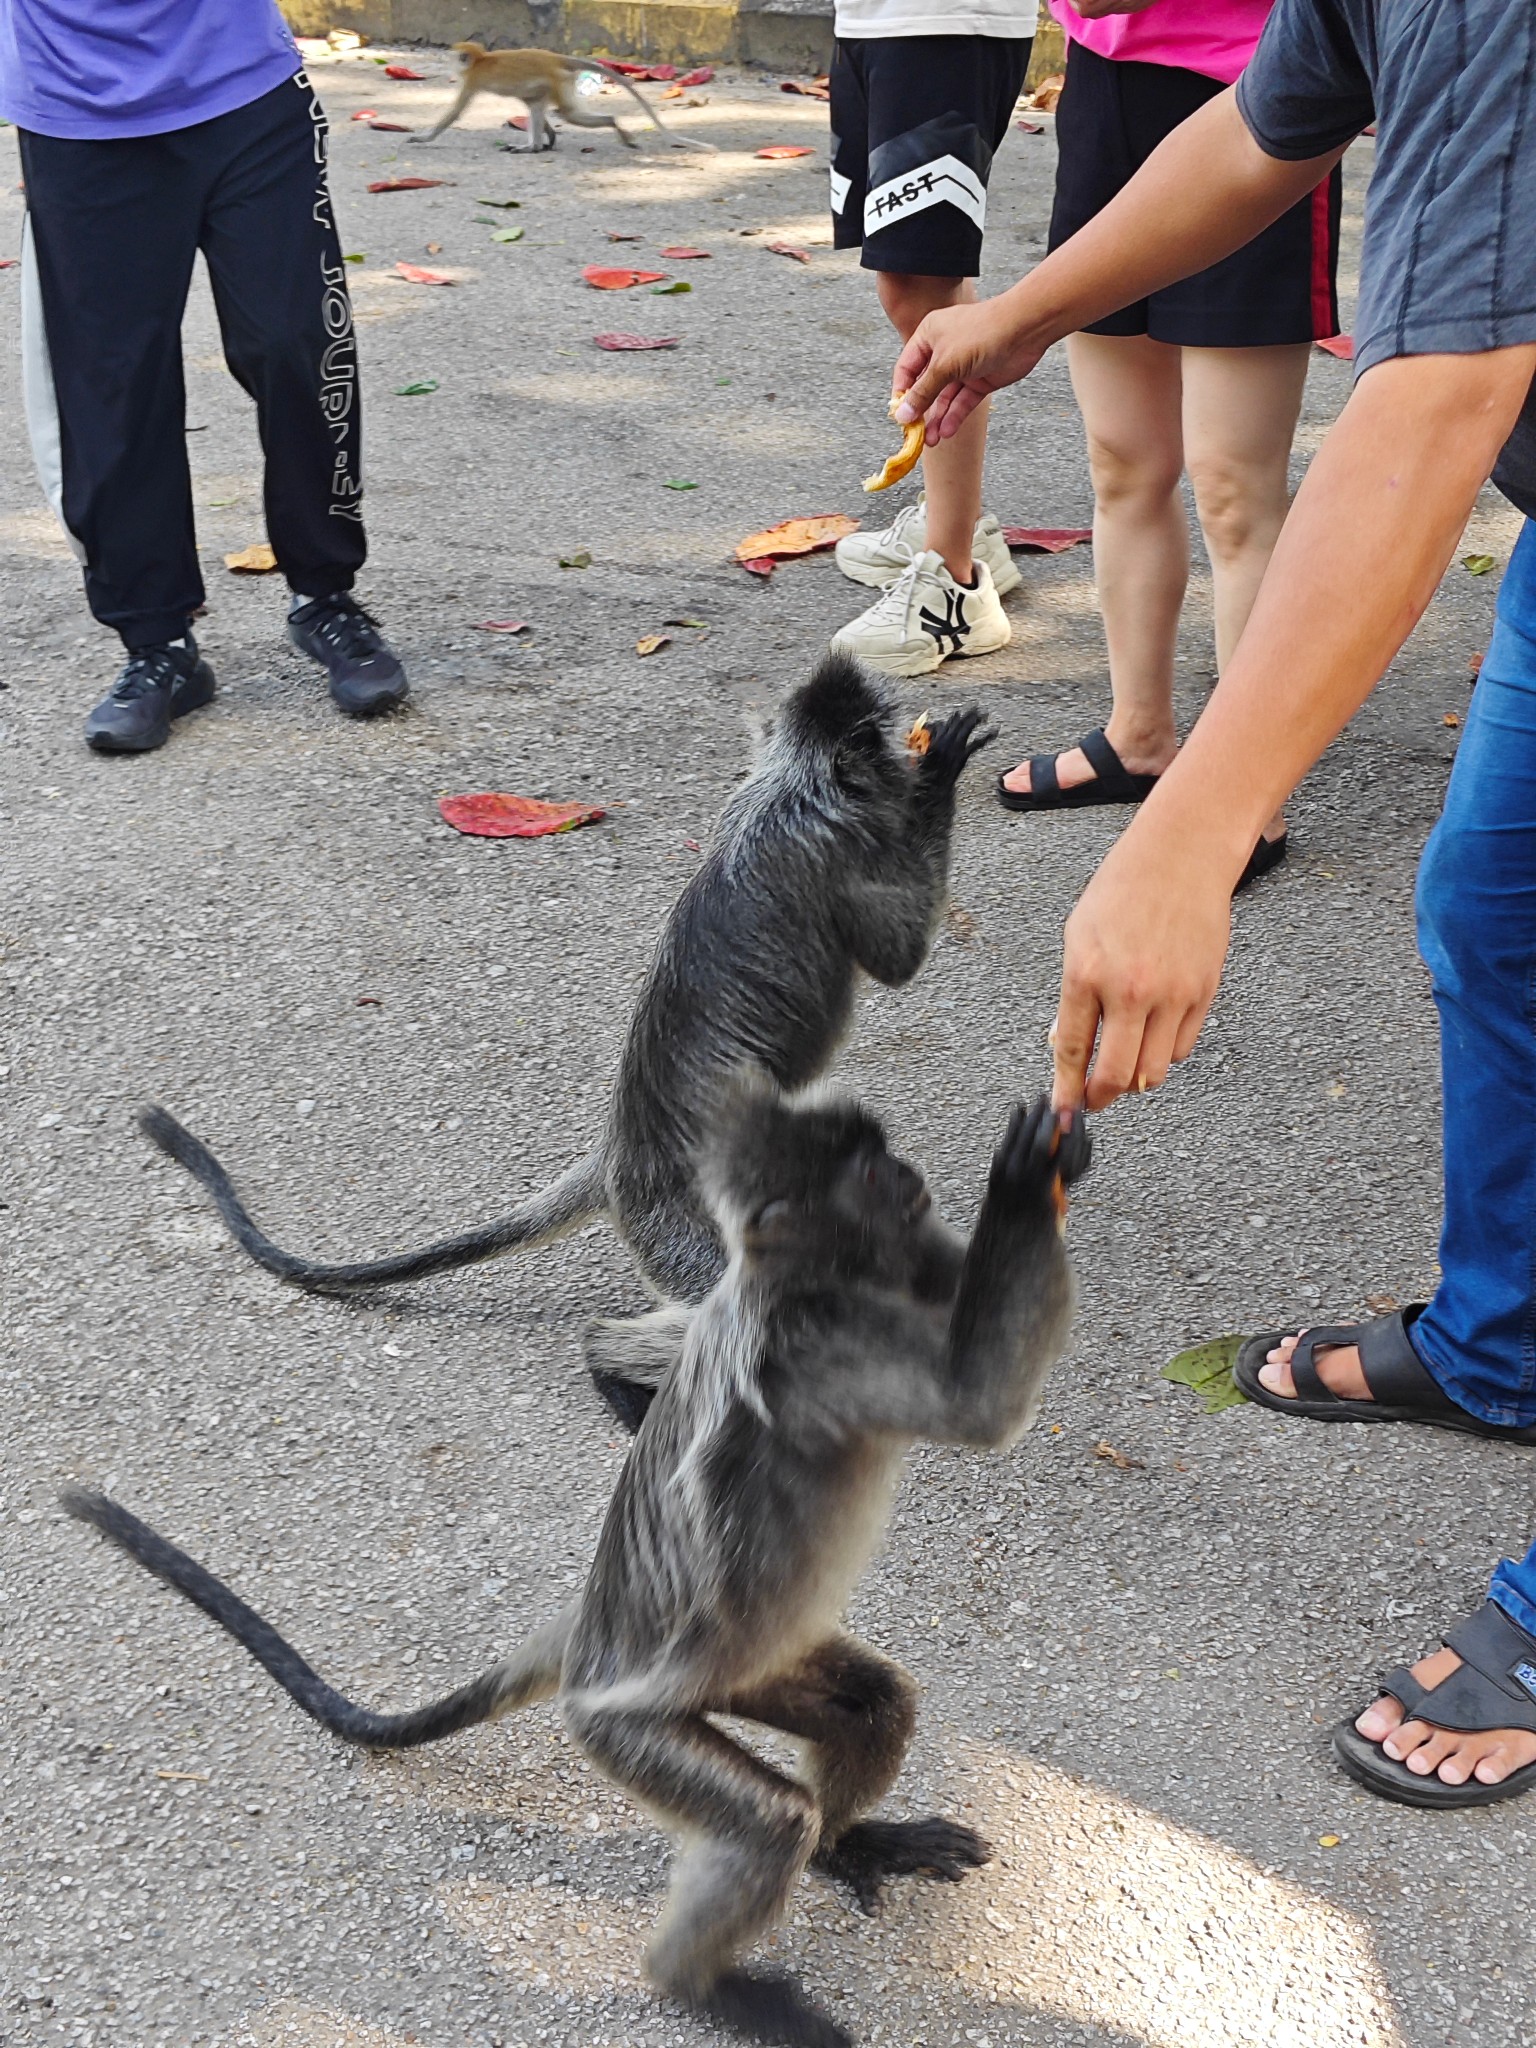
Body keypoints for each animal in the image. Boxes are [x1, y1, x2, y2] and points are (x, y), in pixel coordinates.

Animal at [63, 1081, 1097, 2039]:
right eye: (874, 1174)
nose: (913, 1176)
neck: (802, 1282)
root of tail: (592, 1629)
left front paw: (1064, 1149)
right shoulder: (822, 1346)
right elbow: (979, 1401)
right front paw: (1023, 1177)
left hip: (746, 1667)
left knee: (873, 1705)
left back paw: (844, 1848)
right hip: (623, 1725)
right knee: (767, 1823)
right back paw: (704, 1986)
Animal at [144, 659, 999, 1425]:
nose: (905, 756)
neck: (786, 788)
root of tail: (616, 1158)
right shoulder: (836, 846)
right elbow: (896, 960)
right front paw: (942, 766)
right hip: (678, 1227)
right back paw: (613, 1368)